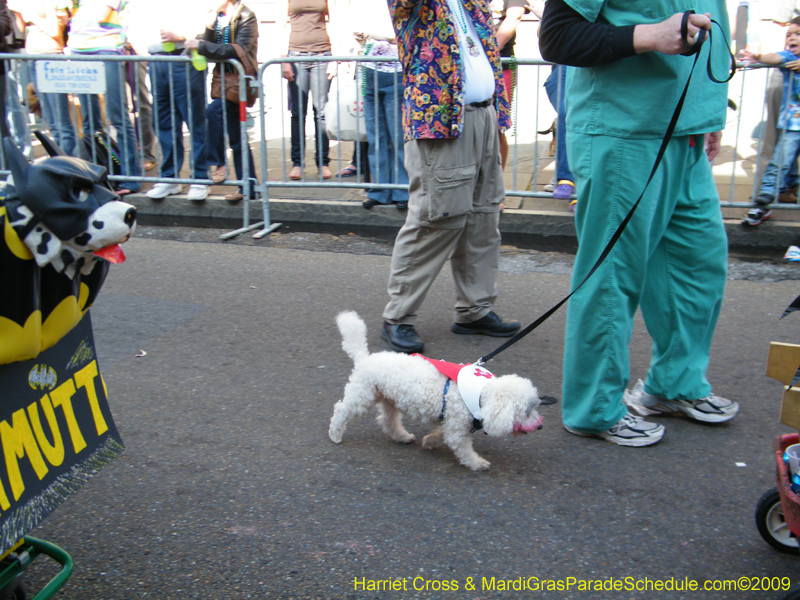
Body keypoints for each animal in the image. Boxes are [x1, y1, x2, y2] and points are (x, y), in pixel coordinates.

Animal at [326, 312, 544, 472]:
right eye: (526, 412)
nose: (540, 426)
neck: (480, 396)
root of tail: (364, 359)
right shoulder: (457, 426)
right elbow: (463, 449)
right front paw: (477, 463)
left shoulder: (451, 422)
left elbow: (442, 434)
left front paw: (429, 441)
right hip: (362, 395)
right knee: (341, 410)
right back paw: (335, 433)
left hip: (389, 399)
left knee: (388, 421)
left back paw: (402, 436)